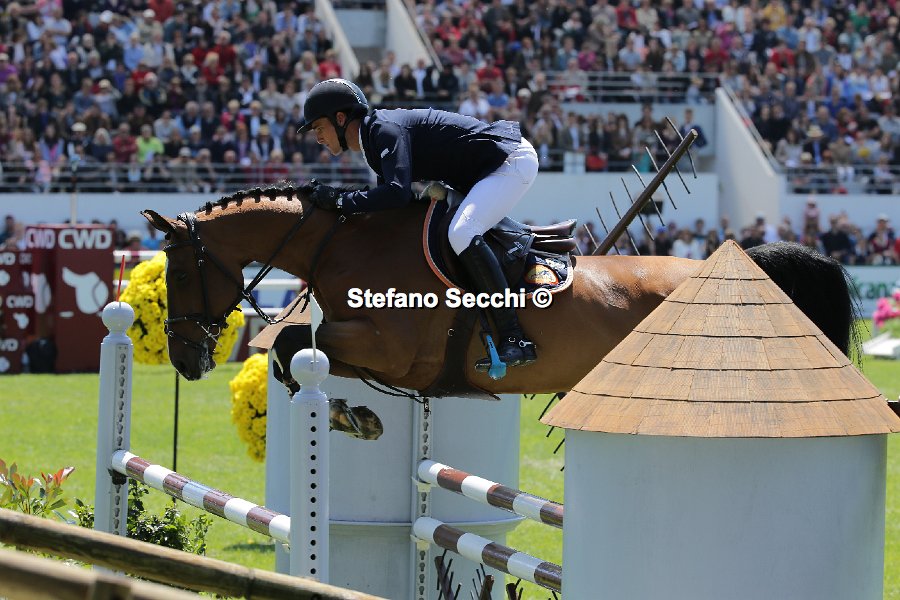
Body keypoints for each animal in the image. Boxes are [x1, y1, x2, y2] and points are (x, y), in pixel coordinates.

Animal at [143, 182, 858, 398]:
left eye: (176, 273)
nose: (184, 358)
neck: (342, 243)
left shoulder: (393, 348)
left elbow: (295, 340)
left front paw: (348, 414)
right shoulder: (375, 355)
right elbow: (297, 347)